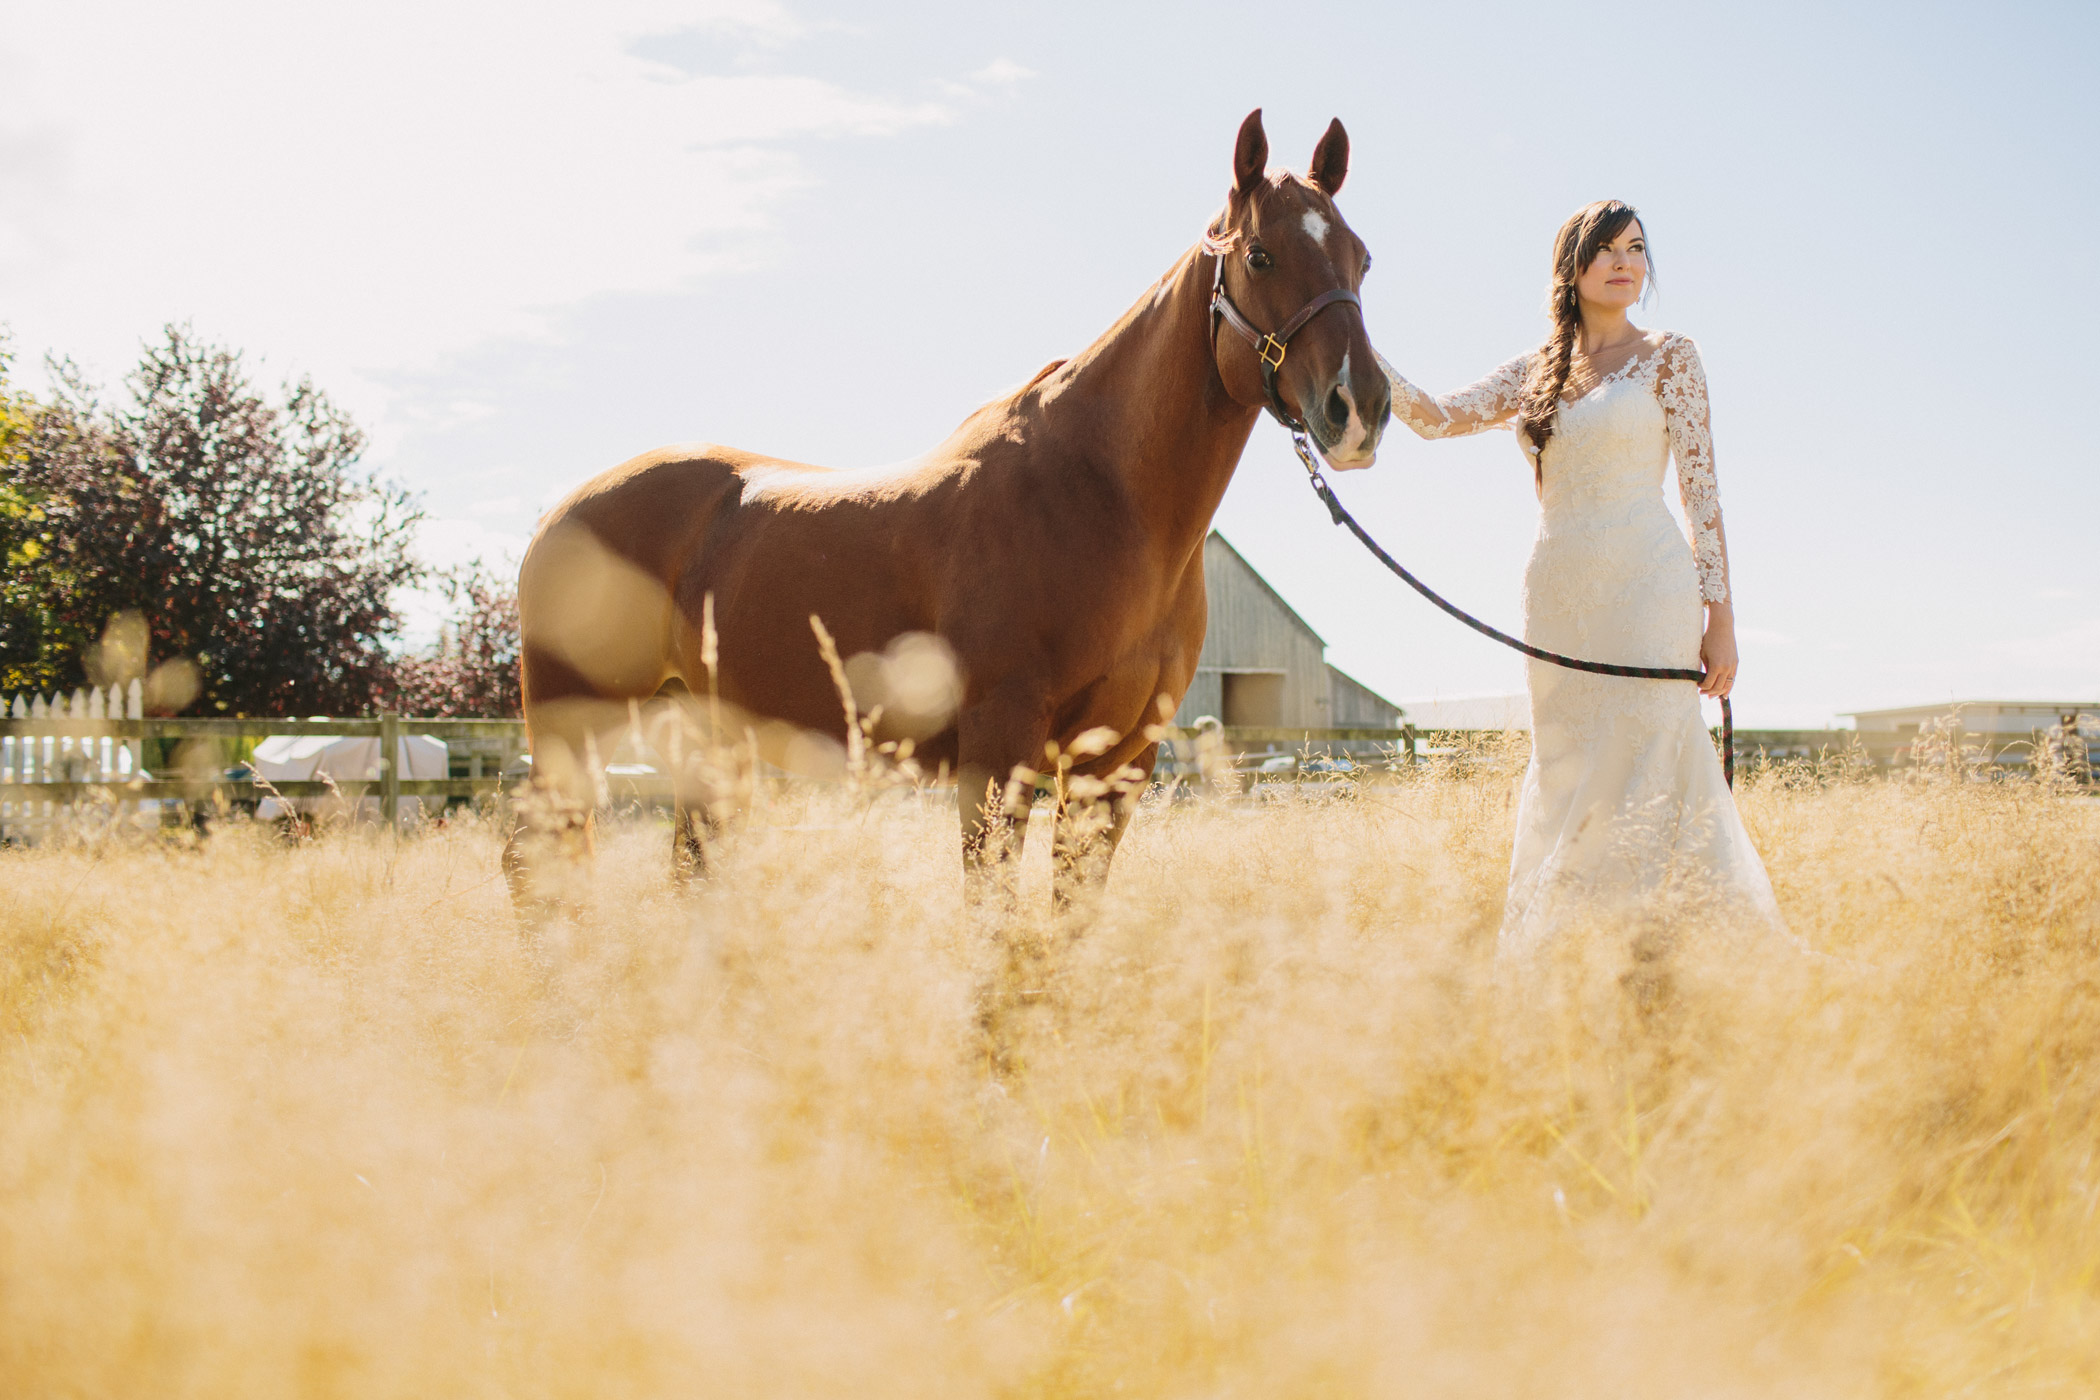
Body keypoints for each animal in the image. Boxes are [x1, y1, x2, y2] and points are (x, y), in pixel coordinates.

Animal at [506, 107, 1385, 898]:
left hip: (703, 735)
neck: (1102, 495)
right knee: (535, 858)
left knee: (689, 867)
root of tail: (561, 513)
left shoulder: (1116, 763)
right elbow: (991, 913)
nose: (1359, 408)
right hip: (573, 728)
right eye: (1261, 255)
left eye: (1363, 259)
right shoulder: (998, 749)